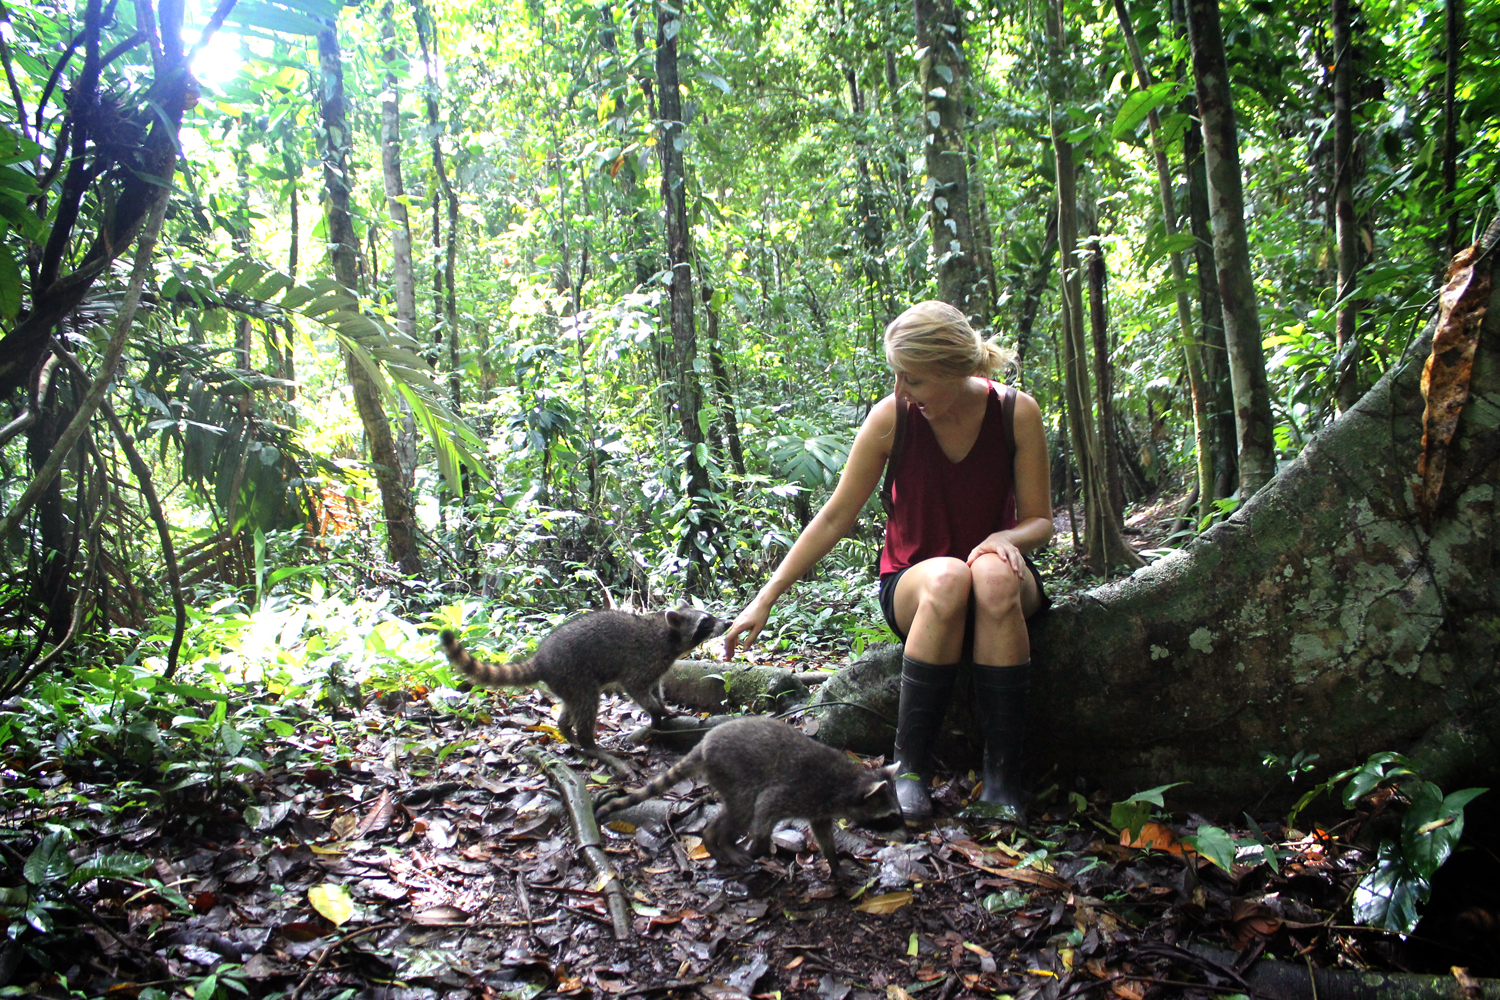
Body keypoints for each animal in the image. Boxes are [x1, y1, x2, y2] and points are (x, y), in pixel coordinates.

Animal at [438, 602, 726, 749]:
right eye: (706, 622)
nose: (726, 623)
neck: (669, 637)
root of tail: (541, 659)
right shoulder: (645, 659)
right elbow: (636, 687)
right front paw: (656, 711)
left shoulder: (658, 666)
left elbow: (655, 687)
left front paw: (662, 707)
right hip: (573, 672)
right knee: (588, 702)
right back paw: (588, 741)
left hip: (566, 682)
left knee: (573, 705)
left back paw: (566, 730)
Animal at [594, 719, 900, 875]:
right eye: (891, 817)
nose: (908, 836)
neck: (851, 782)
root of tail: (702, 744)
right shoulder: (798, 790)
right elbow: (766, 806)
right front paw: (759, 845)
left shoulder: (819, 809)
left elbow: (823, 832)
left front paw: (835, 863)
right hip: (732, 769)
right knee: (744, 810)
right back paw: (722, 842)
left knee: (735, 811)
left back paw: (713, 841)